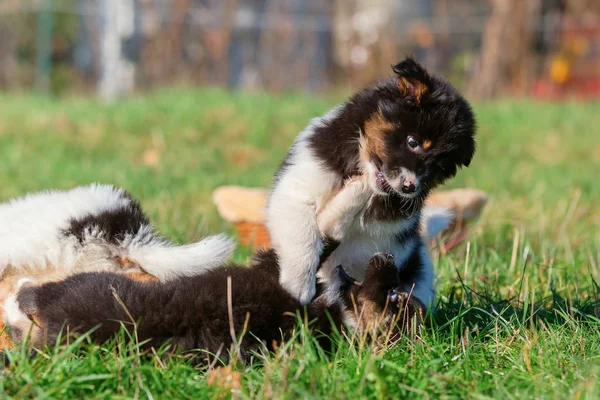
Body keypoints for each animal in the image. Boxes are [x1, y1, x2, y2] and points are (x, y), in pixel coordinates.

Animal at [268, 57, 478, 306]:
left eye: (439, 166)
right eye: (412, 142)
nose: (410, 187)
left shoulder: (377, 242)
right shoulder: (300, 188)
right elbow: (304, 234)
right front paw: (298, 286)